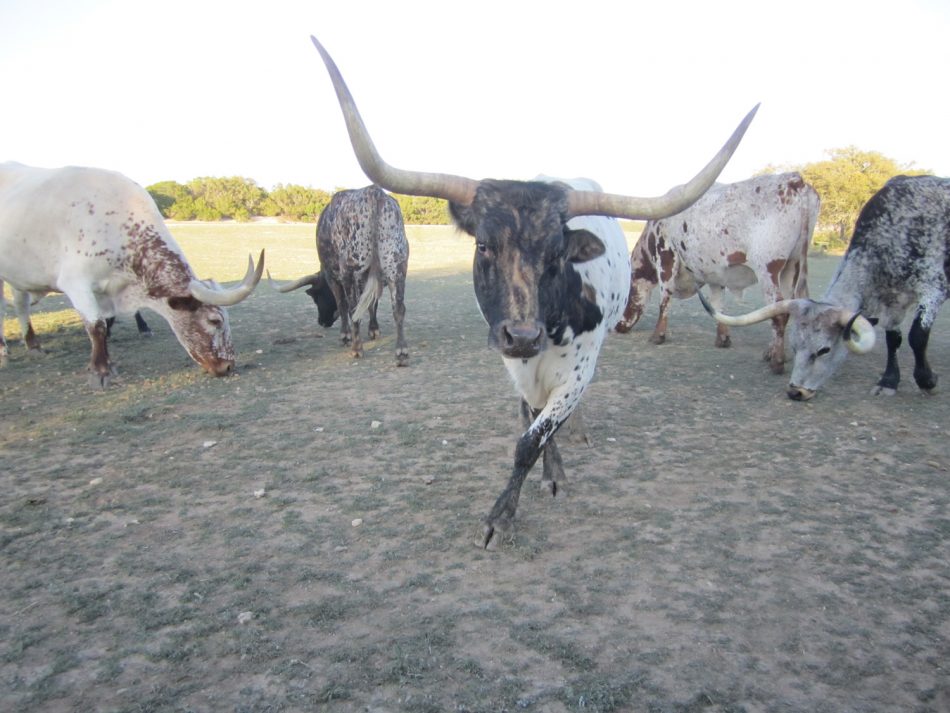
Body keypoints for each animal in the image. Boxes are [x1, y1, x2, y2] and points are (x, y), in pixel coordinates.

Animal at [0, 161, 264, 386]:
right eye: (215, 320)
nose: (228, 366)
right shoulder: (76, 283)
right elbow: (96, 325)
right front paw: (101, 371)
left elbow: (109, 320)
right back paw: (6, 348)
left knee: (20, 304)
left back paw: (32, 344)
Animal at [268, 185, 410, 368]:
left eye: (316, 297)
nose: (322, 322)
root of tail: (374, 192)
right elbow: (372, 304)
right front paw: (373, 330)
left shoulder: (333, 276)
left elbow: (343, 305)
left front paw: (346, 335)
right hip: (397, 266)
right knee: (398, 308)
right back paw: (401, 353)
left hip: (349, 270)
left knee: (352, 308)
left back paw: (356, 348)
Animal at [312, 34, 760, 544]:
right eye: (483, 244)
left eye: (558, 254)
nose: (524, 336)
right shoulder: (517, 368)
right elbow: (531, 420)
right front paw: (547, 474)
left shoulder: (577, 371)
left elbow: (534, 438)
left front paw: (503, 514)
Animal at [616, 172, 820, 372]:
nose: (617, 326)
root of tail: (795, 180)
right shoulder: (715, 272)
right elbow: (717, 304)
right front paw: (722, 338)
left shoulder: (666, 258)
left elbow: (665, 299)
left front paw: (658, 336)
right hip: (791, 267)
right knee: (786, 306)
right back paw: (771, 352)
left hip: (768, 269)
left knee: (778, 313)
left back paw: (777, 361)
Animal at [700, 175, 950, 400]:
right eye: (794, 347)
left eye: (824, 350)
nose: (795, 392)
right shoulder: (893, 300)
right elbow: (893, 338)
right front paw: (888, 381)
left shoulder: (932, 289)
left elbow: (917, 336)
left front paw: (927, 381)